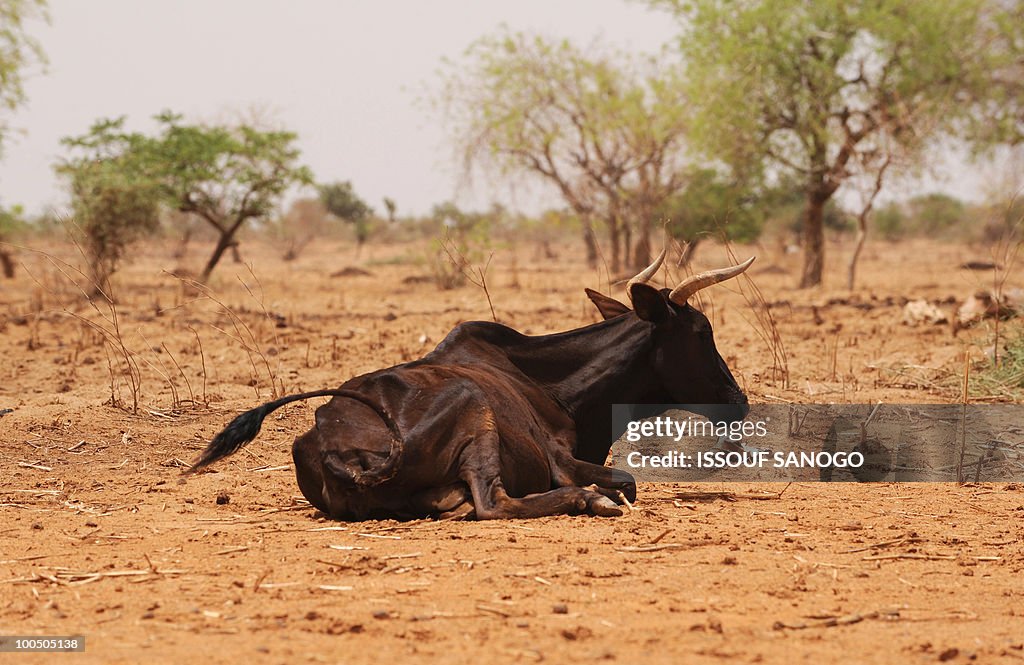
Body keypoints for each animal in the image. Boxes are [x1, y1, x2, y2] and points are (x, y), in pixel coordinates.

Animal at [190, 250, 753, 518]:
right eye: (702, 332)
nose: (739, 401)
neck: (550, 383)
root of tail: (331, 443)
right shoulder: (561, 460)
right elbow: (625, 481)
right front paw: (598, 494)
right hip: (475, 416)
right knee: (491, 504)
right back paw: (589, 501)